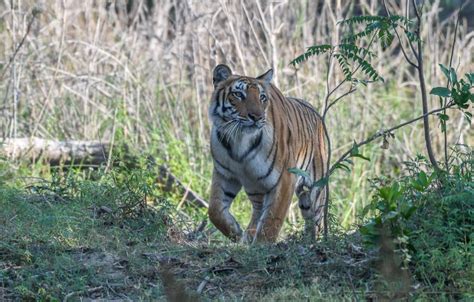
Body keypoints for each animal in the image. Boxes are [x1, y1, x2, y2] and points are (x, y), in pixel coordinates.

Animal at [209, 64, 328, 243]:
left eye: (262, 97)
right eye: (238, 94)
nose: (257, 117)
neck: (239, 140)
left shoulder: (285, 178)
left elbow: (272, 220)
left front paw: (261, 245)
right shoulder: (225, 174)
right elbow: (214, 210)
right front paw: (235, 231)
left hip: (315, 189)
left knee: (316, 218)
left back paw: (314, 242)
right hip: (255, 186)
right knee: (258, 210)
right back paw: (249, 234)